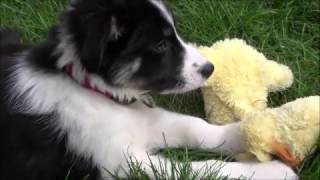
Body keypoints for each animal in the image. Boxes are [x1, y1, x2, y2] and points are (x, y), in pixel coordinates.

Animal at [0, 0, 298, 180]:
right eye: (161, 45)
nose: (209, 68)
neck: (94, 93)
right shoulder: (120, 164)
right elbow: (196, 169)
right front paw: (271, 172)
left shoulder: (145, 119)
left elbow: (196, 127)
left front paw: (257, 128)